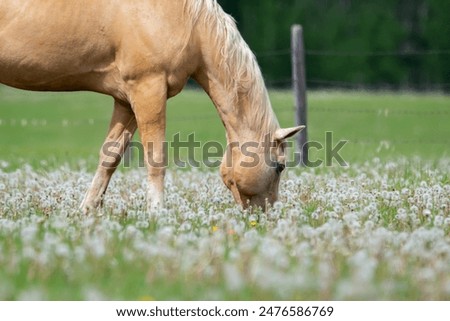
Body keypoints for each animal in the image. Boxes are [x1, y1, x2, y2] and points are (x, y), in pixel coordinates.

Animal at [0, 0, 304, 211]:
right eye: (280, 167)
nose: (266, 215)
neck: (187, 19)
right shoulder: (148, 89)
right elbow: (155, 158)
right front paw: (157, 213)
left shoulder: (127, 100)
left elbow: (110, 156)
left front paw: (87, 211)